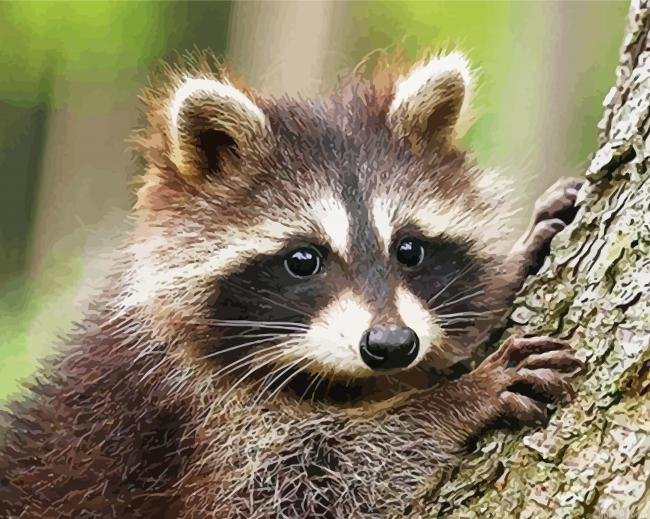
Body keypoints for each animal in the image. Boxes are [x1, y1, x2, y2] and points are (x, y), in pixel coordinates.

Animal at [0, 51, 584, 518]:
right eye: (303, 260)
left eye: (409, 250)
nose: (392, 344)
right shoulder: (194, 423)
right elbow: (308, 484)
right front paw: (452, 401)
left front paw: (504, 274)